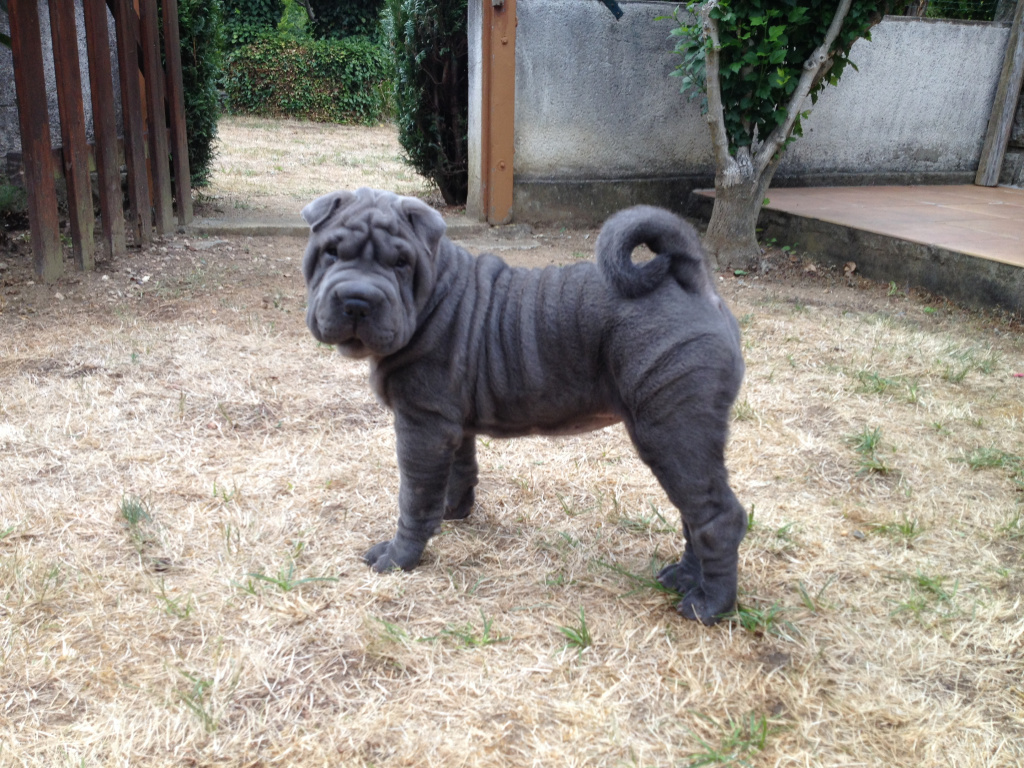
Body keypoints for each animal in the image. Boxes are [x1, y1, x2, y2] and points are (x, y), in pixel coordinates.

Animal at [299, 186, 749, 626]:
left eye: (400, 263)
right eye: (331, 252)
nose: (357, 301)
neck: (432, 295)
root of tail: (689, 281)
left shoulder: (421, 425)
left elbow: (414, 497)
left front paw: (398, 558)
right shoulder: (451, 424)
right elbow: (459, 471)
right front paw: (453, 512)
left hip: (671, 430)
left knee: (717, 517)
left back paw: (709, 604)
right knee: (693, 512)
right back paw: (684, 578)